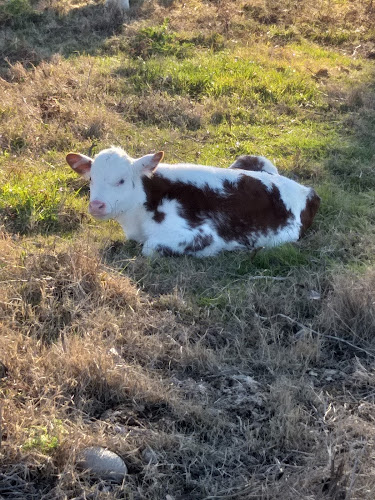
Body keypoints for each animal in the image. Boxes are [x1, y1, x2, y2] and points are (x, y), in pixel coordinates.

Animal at [66, 146, 318, 256]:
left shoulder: (201, 235)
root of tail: (307, 190)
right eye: (91, 179)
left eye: (121, 180)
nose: (96, 205)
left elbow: (149, 248)